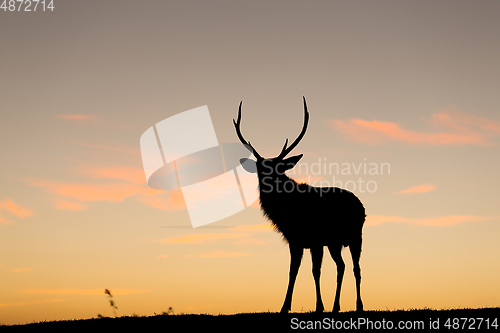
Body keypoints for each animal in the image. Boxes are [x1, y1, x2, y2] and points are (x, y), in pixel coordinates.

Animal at [232, 97, 366, 312]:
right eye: (260, 169)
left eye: (278, 168)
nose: (267, 182)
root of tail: (361, 205)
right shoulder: (294, 240)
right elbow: (292, 272)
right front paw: (285, 306)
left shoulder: (316, 240)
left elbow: (315, 271)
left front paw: (319, 306)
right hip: (335, 243)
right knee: (342, 266)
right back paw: (336, 306)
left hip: (355, 236)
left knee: (356, 268)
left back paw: (358, 305)